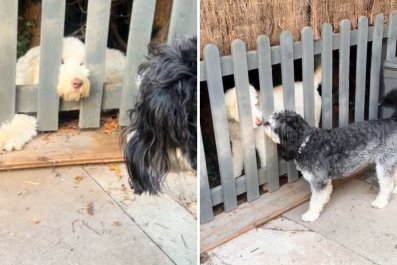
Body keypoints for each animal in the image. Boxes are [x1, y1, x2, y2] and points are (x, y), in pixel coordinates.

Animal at [262, 89, 397, 222]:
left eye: (271, 124)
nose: (263, 123)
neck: (307, 142)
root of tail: (391, 121)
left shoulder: (318, 179)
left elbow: (315, 199)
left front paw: (311, 214)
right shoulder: (324, 178)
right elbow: (326, 191)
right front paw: (324, 201)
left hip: (385, 163)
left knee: (386, 183)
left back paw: (380, 202)